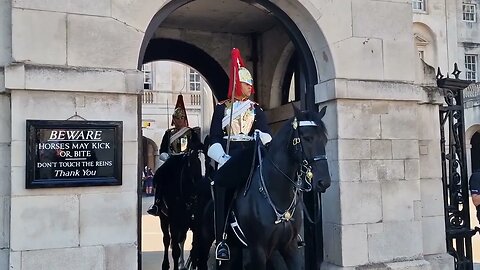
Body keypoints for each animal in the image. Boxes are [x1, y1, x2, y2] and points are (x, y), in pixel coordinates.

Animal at [193, 106, 332, 270]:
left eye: (325, 139)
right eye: (307, 138)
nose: (324, 182)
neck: (276, 194)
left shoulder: (290, 247)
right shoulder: (258, 251)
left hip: (233, 247)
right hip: (204, 240)